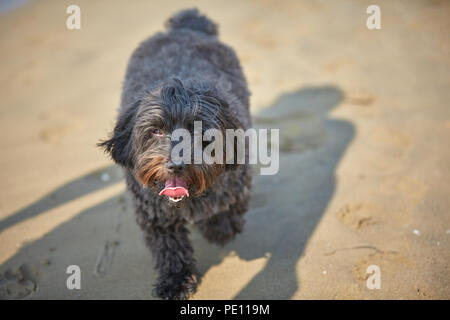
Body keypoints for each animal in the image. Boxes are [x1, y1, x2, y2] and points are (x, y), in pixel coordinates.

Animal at [99, 8, 251, 300]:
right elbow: (169, 251)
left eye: (198, 130)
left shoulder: (237, 180)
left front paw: (219, 228)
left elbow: (229, 207)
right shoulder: (155, 216)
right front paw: (175, 282)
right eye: (157, 130)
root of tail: (184, 27)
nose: (176, 164)